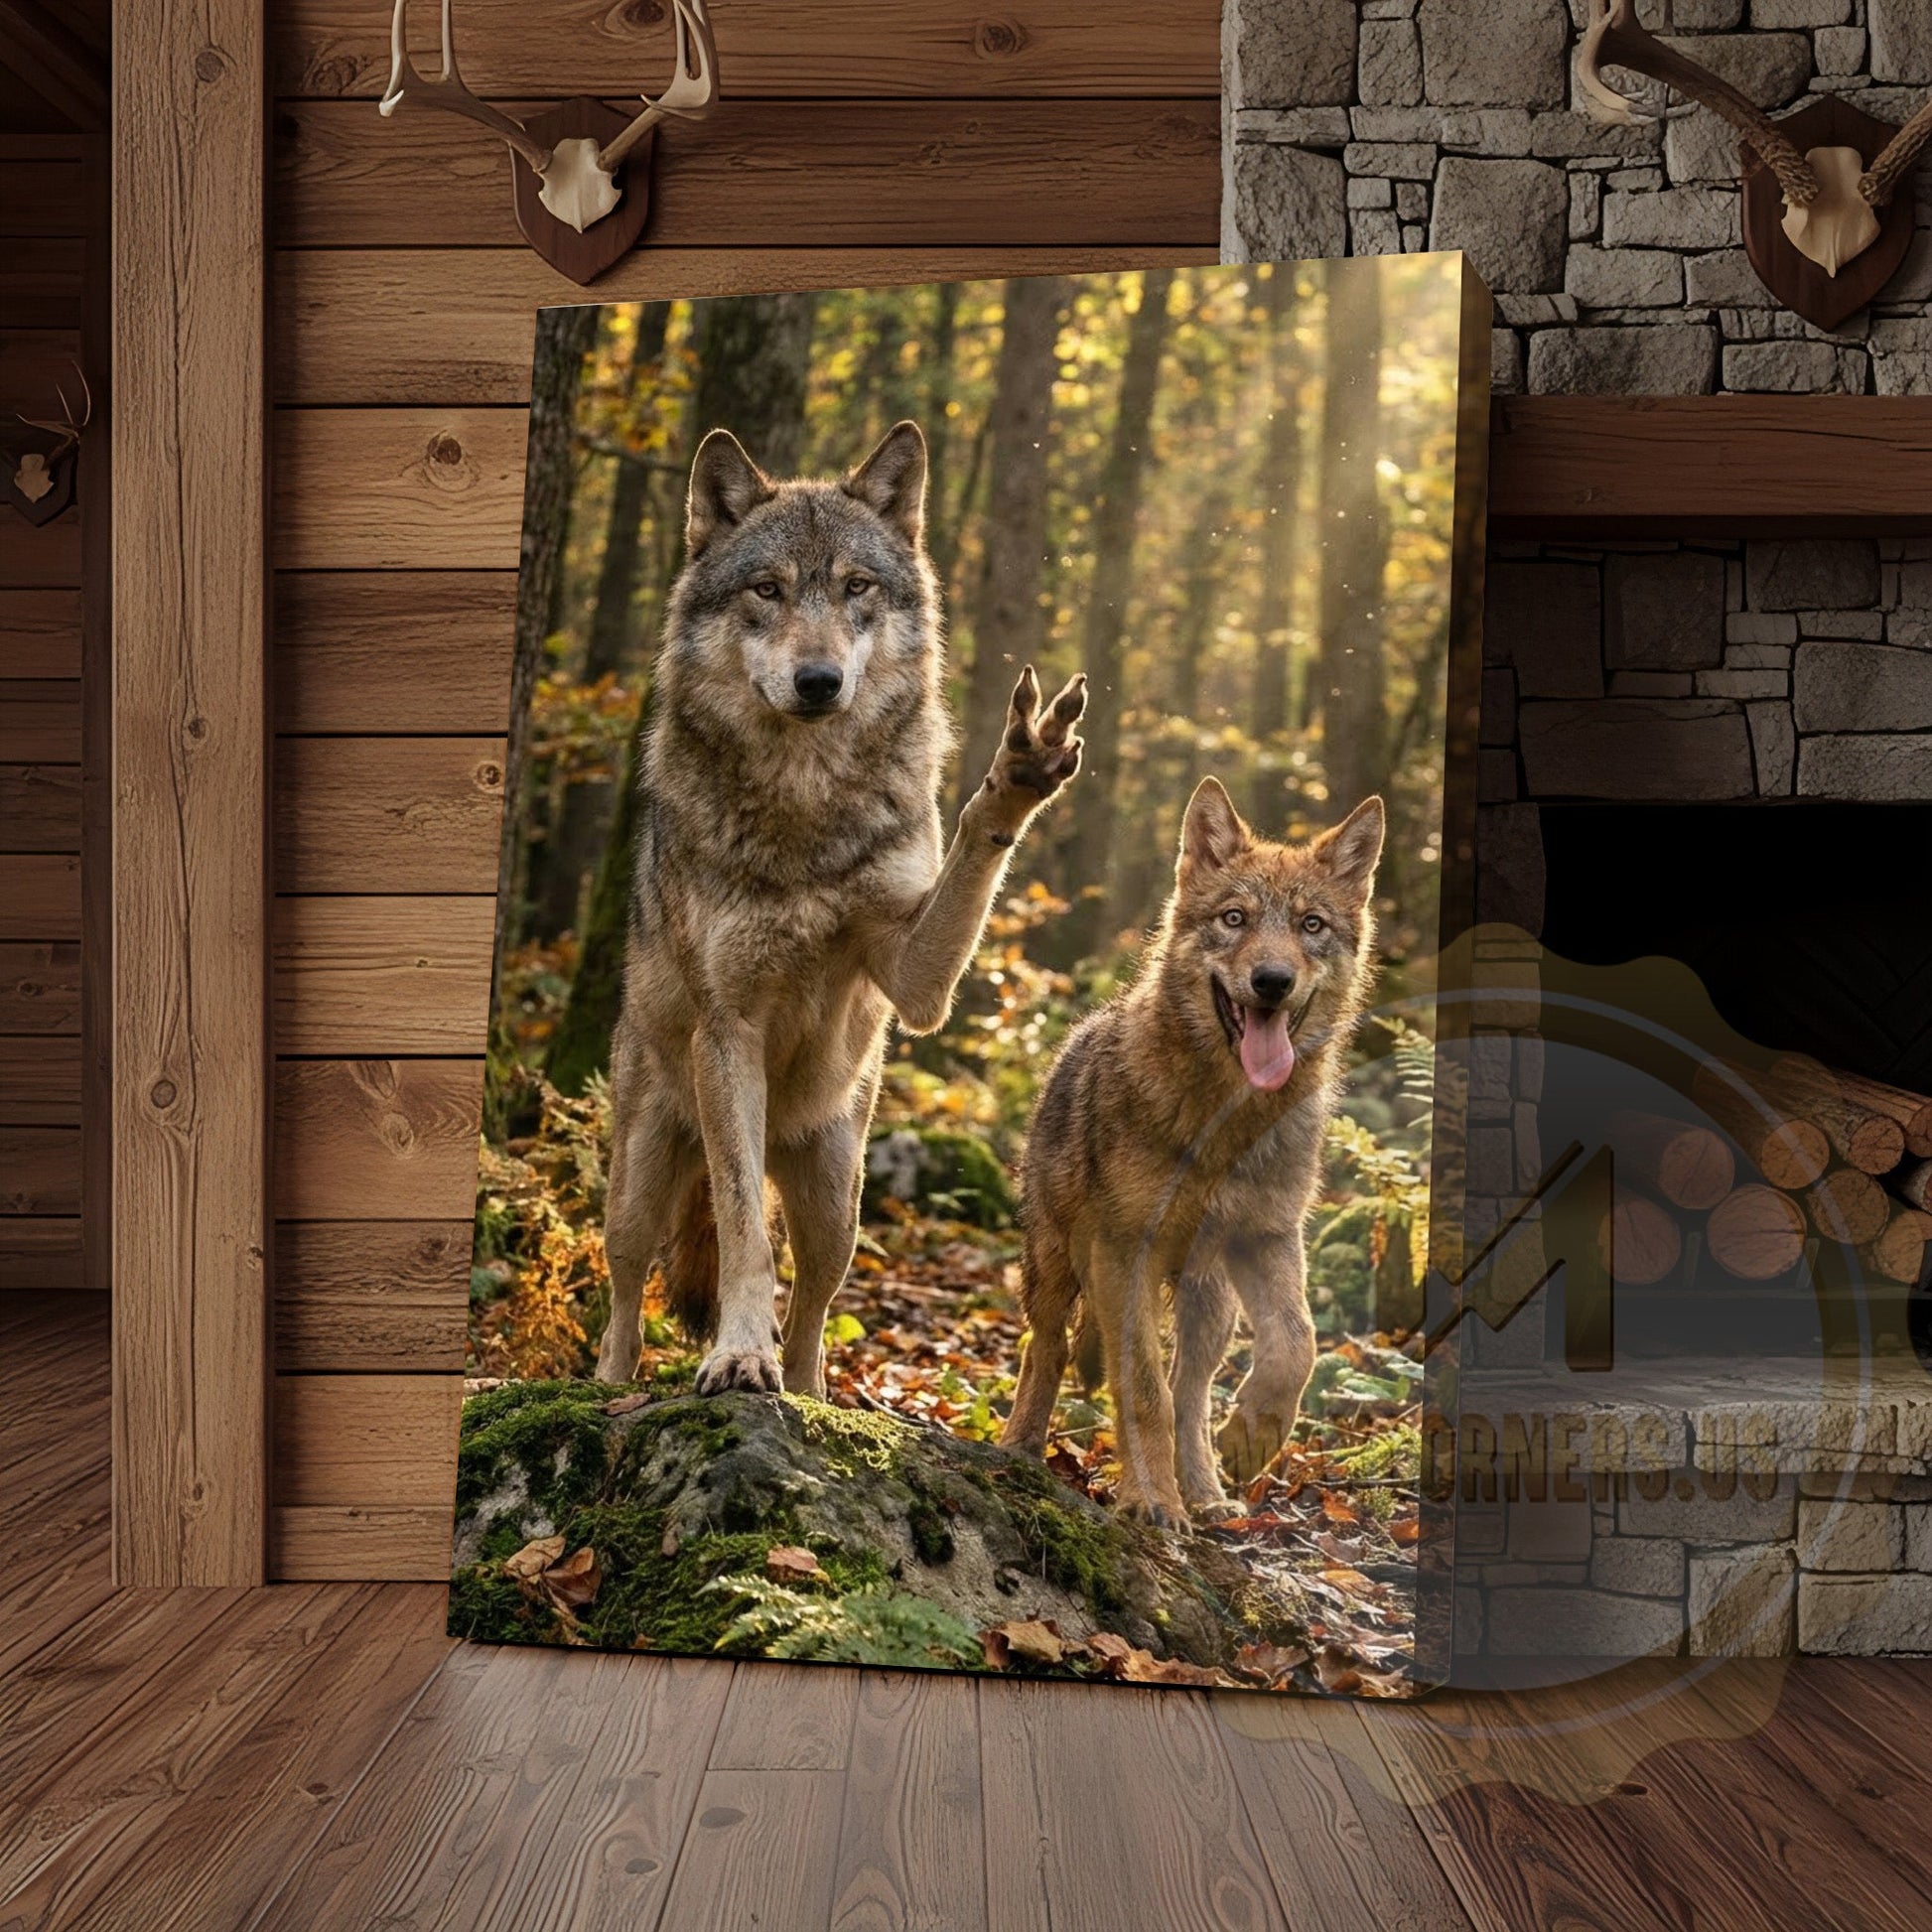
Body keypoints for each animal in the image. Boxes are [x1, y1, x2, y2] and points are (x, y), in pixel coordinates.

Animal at [592, 419, 1087, 1394]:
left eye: (856, 587)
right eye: (768, 589)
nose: (818, 680)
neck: (806, 803)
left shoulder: (913, 978)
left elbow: (970, 853)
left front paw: (1015, 778)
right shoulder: (729, 1031)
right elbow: (744, 1233)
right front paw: (737, 1355)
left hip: (838, 1194)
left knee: (818, 1299)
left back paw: (818, 1394)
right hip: (641, 1178)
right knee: (626, 1284)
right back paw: (611, 1385)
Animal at [1002, 778, 1385, 1525]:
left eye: (1312, 926)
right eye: (1234, 918)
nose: (1272, 980)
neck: (1224, 1127)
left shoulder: (1268, 1237)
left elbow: (1296, 1345)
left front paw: (1252, 1440)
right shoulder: (1126, 1252)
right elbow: (1141, 1389)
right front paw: (1152, 1500)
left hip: (1211, 1302)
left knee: (1193, 1388)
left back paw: (1207, 1491)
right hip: (1058, 1266)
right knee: (1048, 1349)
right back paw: (1020, 1449)